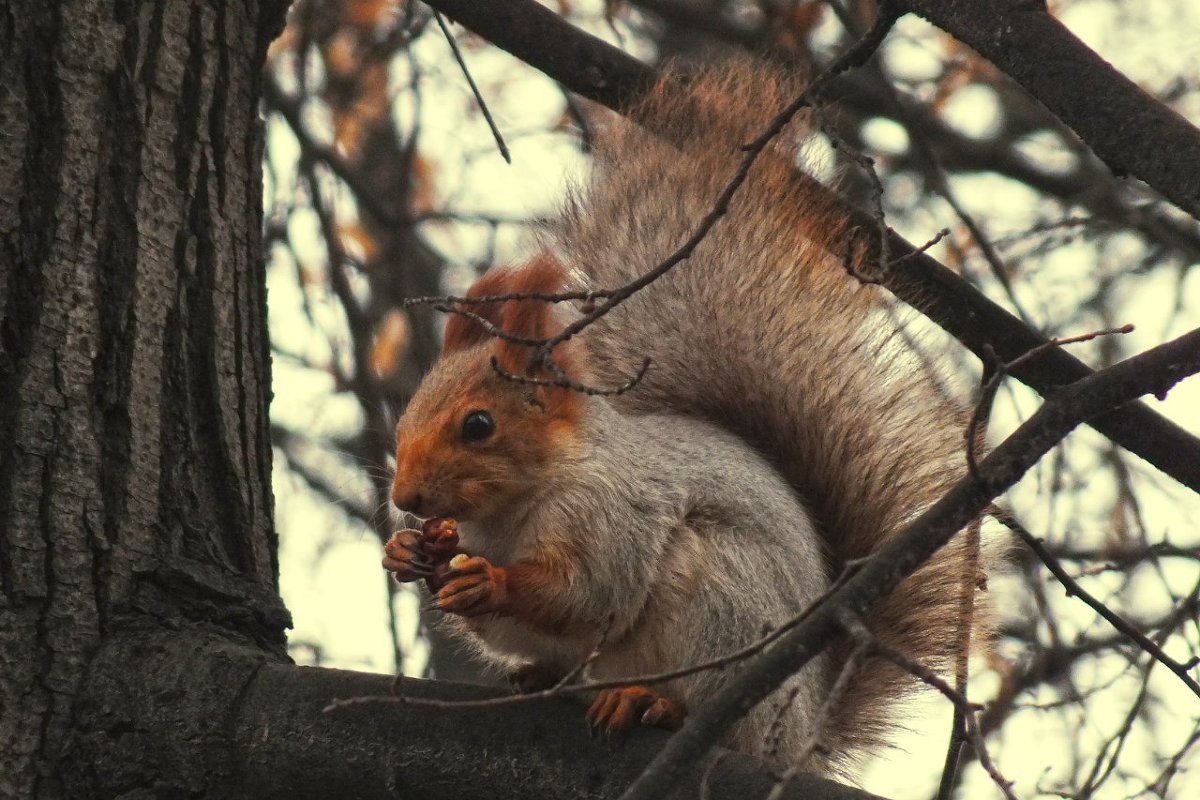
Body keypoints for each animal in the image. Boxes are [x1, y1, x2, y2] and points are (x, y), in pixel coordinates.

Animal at [384, 59, 984, 777]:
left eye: (478, 425)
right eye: (405, 420)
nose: (404, 498)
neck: (511, 510)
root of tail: (800, 737)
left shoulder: (614, 513)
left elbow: (588, 592)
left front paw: (490, 581)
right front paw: (408, 553)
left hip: (721, 603)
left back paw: (651, 702)